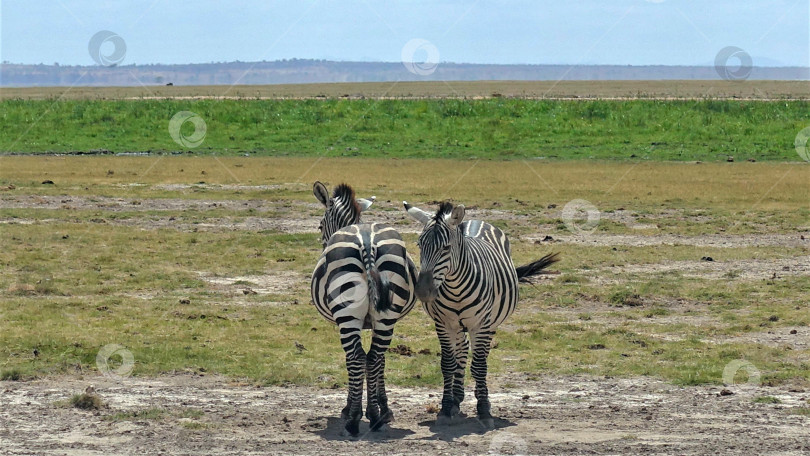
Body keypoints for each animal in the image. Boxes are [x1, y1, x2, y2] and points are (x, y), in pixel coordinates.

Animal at [310, 180, 416, 436]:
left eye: (320, 226)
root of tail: (367, 243)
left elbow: (351, 360)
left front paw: (349, 408)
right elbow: (379, 360)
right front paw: (382, 408)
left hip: (347, 313)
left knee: (357, 356)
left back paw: (353, 420)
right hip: (387, 314)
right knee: (375, 356)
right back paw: (376, 417)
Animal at [402, 201, 560, 430]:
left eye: (446, 248)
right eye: (420, 245)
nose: (423, 292)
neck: (455, 288)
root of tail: (477, 220)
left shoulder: (481, 324)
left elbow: (479, 366)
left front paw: (484, 410)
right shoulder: (444, 324)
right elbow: (448, 364)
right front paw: (445, 408)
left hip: (490, 323)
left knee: (481, 356)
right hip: (459, 326)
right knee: (461, 351)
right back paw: (456, 400)